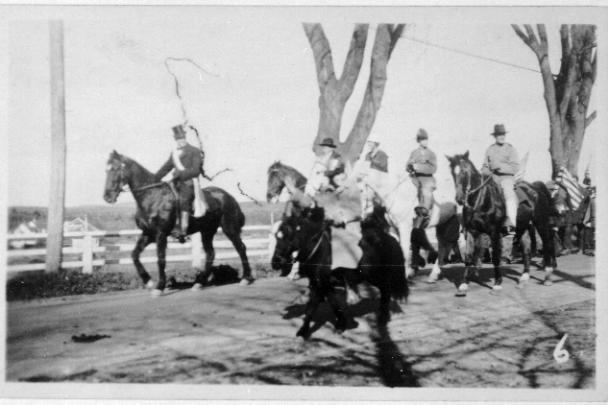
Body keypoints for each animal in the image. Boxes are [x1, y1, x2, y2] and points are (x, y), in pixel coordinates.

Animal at [104, 150, 254, 296]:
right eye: (106, 170)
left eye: (115, 169)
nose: (107, 197)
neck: (152, 197)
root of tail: (228, 196)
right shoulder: (148, 234)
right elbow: (134, 255)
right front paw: (148, 282)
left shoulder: (161, 234)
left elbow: (161, 259)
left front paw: (159, 287)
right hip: (207, 232)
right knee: (211, 254)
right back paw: (199, 283)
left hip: (229, 228)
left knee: (240, 248)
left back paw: (246, 278)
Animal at [446, 150, 556, 296]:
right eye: (453, 172)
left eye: (464, 171)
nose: (459, 199)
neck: (482, 200)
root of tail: (535, 187)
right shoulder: (471, 232)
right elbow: (469, 257)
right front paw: (463, 285)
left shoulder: (494, 232)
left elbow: (496, 257)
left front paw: (497, 284)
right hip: (523, 228)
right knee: (526, 251)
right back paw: (523, 279)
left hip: (541, 223)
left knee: (547, 244)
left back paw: (548, 276)